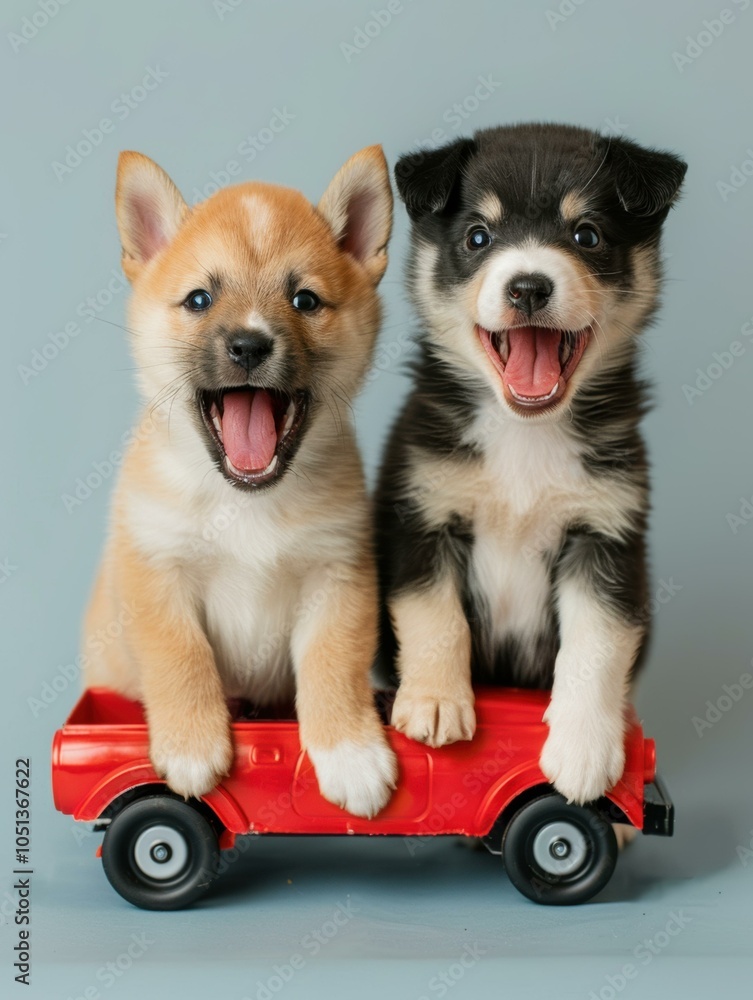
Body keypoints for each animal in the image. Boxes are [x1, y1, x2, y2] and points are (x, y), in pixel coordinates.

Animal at [84, 150, 396, 820]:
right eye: (200, 299)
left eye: (305, 300)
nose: (249, 345)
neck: (244, 503)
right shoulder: (156, 570)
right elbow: (181, 654)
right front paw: (192, 745)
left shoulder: (337, 576)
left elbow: (333, 665)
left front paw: (350, 754)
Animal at [378, 123, 684, 804]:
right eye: (478, 237)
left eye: (587, 234)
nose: (528, 287)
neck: (525, 436)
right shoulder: (423, 516)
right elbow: (434, 615)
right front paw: (435, 702)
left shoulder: (605, 536)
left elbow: (595, 645)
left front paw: (585, 748)